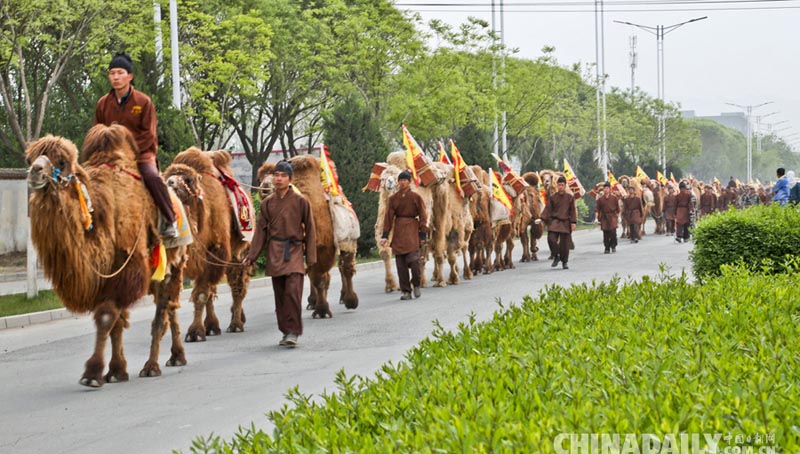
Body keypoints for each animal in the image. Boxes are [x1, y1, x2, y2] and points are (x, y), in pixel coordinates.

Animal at [25, 124, 189, 386]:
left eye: (62, 161)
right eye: (29, 158)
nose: (35, 171)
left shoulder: (126, 270)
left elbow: (106, 317)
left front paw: (92, 374)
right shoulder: (105, 276)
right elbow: (117, 324)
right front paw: (116, 371)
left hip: (173, 265)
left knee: (162, 312)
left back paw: (151, 366)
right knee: (171, 308)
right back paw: (177, 356)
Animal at [162, 149, 250, 340]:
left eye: (188, 179)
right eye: (166, 177)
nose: (170, 183)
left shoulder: (215, 251)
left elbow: (202, 294)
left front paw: (195, 332)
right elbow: (204, 292)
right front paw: (205, 328)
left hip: (239, 253)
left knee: (237, 284)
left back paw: (236, 324)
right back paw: (215, 325)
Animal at [258, 154, 358, 318]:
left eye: (275, 176)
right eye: (259, 178)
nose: (264, 187)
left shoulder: (324, 247)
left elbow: (319, 277)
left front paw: (322, 310)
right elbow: (313, 274)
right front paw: (318, 306)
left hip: (348, 239)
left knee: (346, 266)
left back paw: (350, 300)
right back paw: (315, 300)